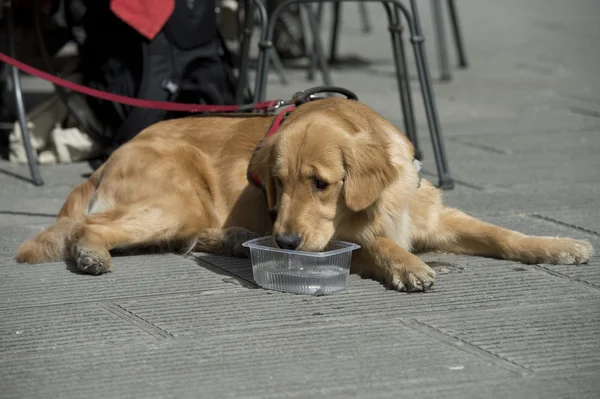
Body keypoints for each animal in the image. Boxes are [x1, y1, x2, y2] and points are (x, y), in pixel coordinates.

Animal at [15, 97, 596, 290]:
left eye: (320, 183)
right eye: (276, 183)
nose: (286, 243)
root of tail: (112, 154)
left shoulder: (433, 216)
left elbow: (501, 233)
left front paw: (558, 246)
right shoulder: (345, 239)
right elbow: (378, 243)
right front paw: (408, 265)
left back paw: (233, 238)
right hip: (176, 200)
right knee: (88, 226)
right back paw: (91, 254)